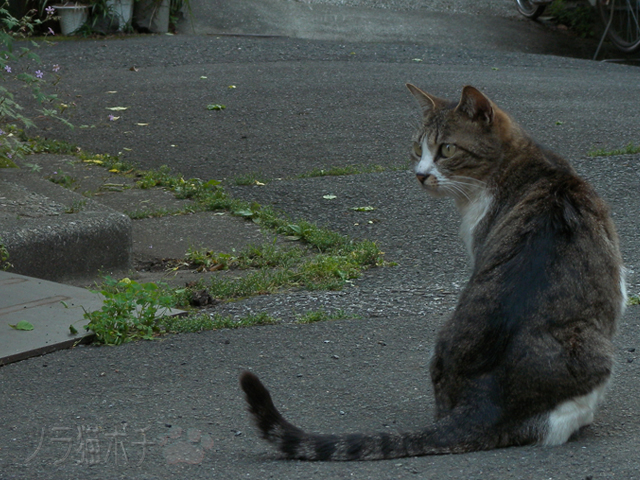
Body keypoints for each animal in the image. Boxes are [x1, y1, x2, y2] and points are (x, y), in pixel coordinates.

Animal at [239, 84, 624, 460]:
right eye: (416, 148)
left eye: (447, 149)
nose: (421, 174)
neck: (525, 165)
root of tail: (483, 404)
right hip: (597, 351)